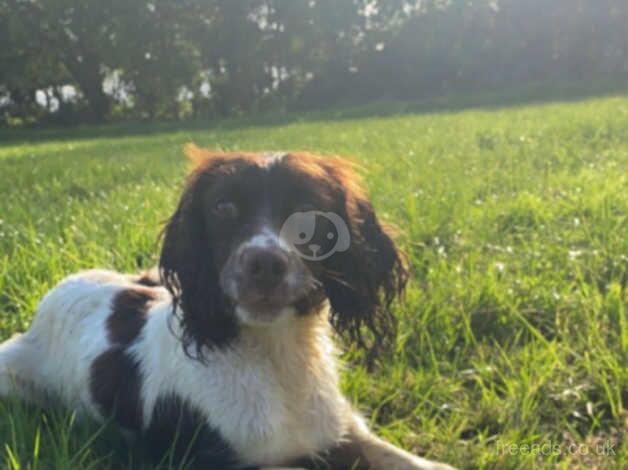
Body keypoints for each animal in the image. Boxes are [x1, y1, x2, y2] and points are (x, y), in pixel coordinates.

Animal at [0, 147, 452, 470]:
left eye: (309, 213)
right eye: (222, 208)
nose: (264, 264)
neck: (277, 358)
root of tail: (59, 290)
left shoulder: (340, 429)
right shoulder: (207, 458)